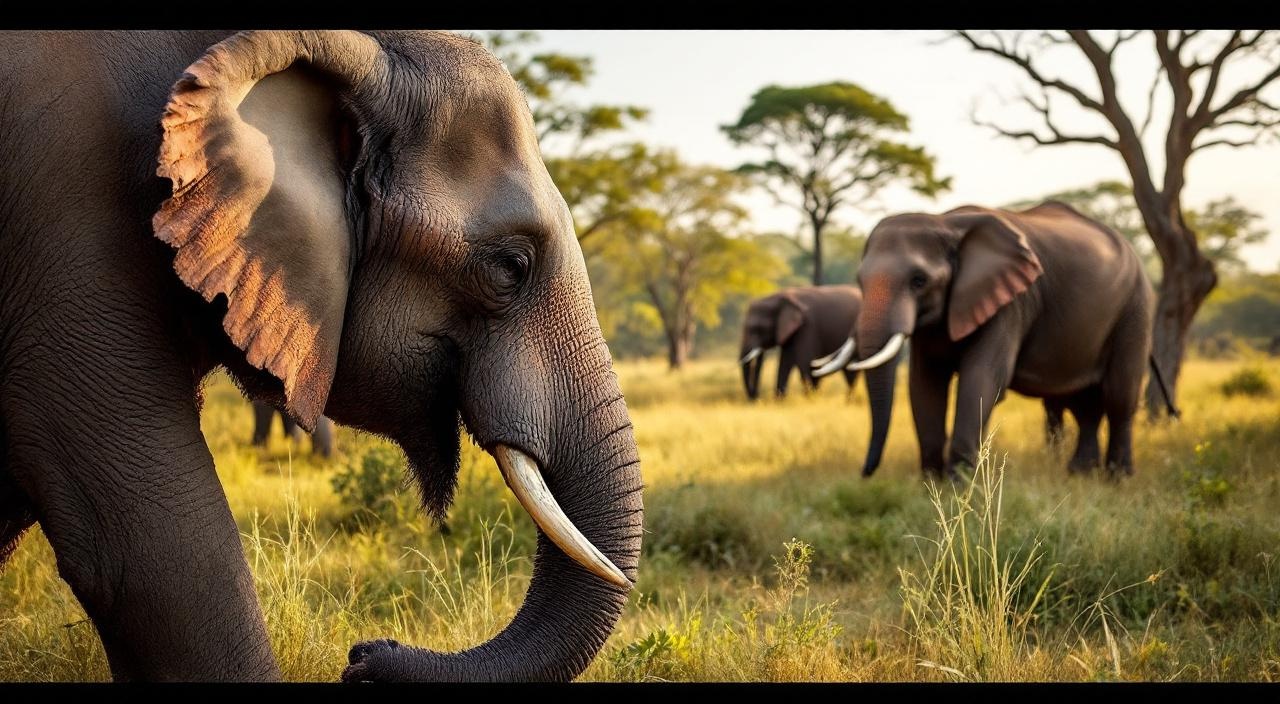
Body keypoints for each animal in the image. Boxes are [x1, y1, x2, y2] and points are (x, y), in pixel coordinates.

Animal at [811, 202, 1178, 480]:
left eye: (919, 281)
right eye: (859, 280)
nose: (865, 472)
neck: (946, 223)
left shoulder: (1012, 303)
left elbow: (983, 378)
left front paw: (957, 488)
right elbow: (924, 383)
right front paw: (930, 485)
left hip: (1135, 308)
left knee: (1119, 397)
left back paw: (1118, 478)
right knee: (1083, 403)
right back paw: (1080, 475)